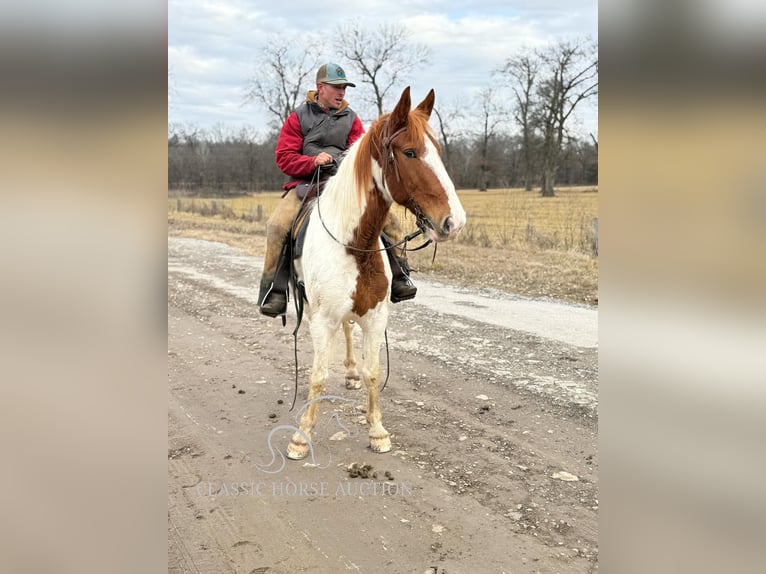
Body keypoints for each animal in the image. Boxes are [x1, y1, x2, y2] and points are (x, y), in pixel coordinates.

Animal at [286, 86, 468, 464]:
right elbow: (317, 375)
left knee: (348, 332)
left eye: (438, 151)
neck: (354, 244)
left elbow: (373, 373)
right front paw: (300, 437)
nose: (454, 222)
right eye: (410, 152)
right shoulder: (322, 319)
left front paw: (377, 431)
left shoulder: (375, 317)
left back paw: (351, 372)